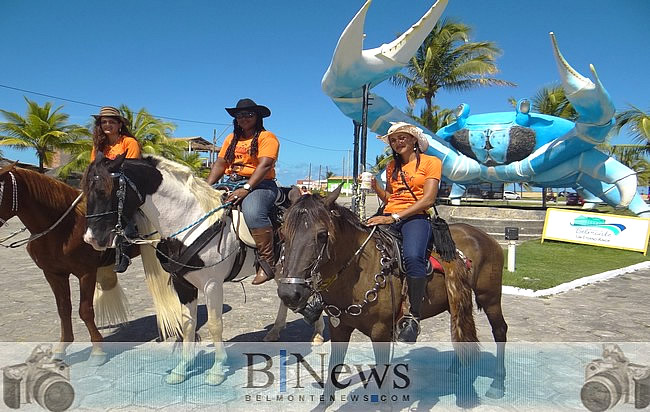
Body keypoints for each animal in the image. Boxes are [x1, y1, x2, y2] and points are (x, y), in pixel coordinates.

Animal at [0, 163, 132, 366]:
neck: (66, 229)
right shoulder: (54, 274)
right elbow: (63, 309)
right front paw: (61, 349)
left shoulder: (86, 273)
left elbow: (85, 310)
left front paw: (97, 350)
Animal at [274, 185, 506, 404]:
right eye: (282, 234)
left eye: (322, 235)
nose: (289, 293)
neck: (358, 270)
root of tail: (484, 236)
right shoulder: (339, 327)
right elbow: (333, 368)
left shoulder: (381, 332)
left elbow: (384, 382)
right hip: (454, 299)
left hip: (490, 297)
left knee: (499, 329)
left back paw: (497, 384)